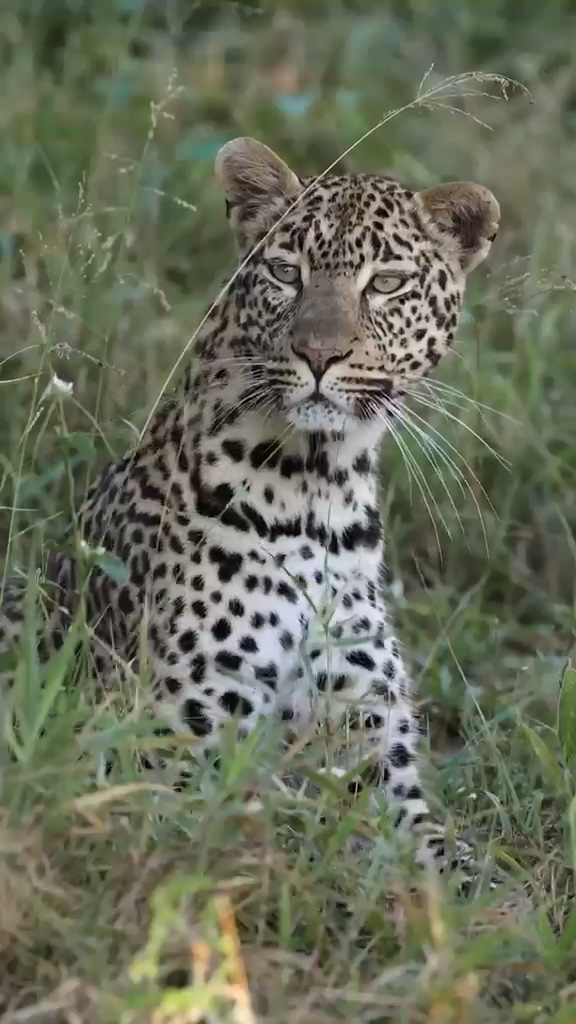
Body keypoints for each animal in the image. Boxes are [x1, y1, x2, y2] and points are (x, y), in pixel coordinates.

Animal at [0, 137, 500, 879]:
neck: (319, 492)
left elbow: (453, 865)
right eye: (287, 273)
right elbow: (280, 836)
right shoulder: (178, 749)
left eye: (385, 283)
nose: (319, 354)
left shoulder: (376, 748)